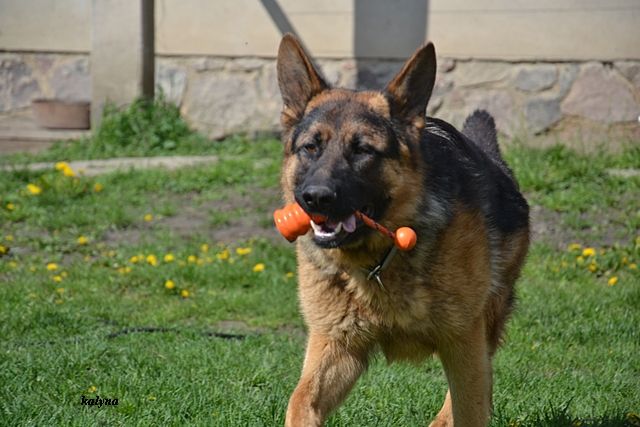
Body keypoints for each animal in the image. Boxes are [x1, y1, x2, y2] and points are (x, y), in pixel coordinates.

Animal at [276, 34, 530, 427]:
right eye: (311, 148)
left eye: (363, 150)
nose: (315, 197)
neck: (379, 262)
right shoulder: (336, 348)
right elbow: (300, 401)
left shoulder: (462, 342)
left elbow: (470, 405)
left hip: (484, 323)